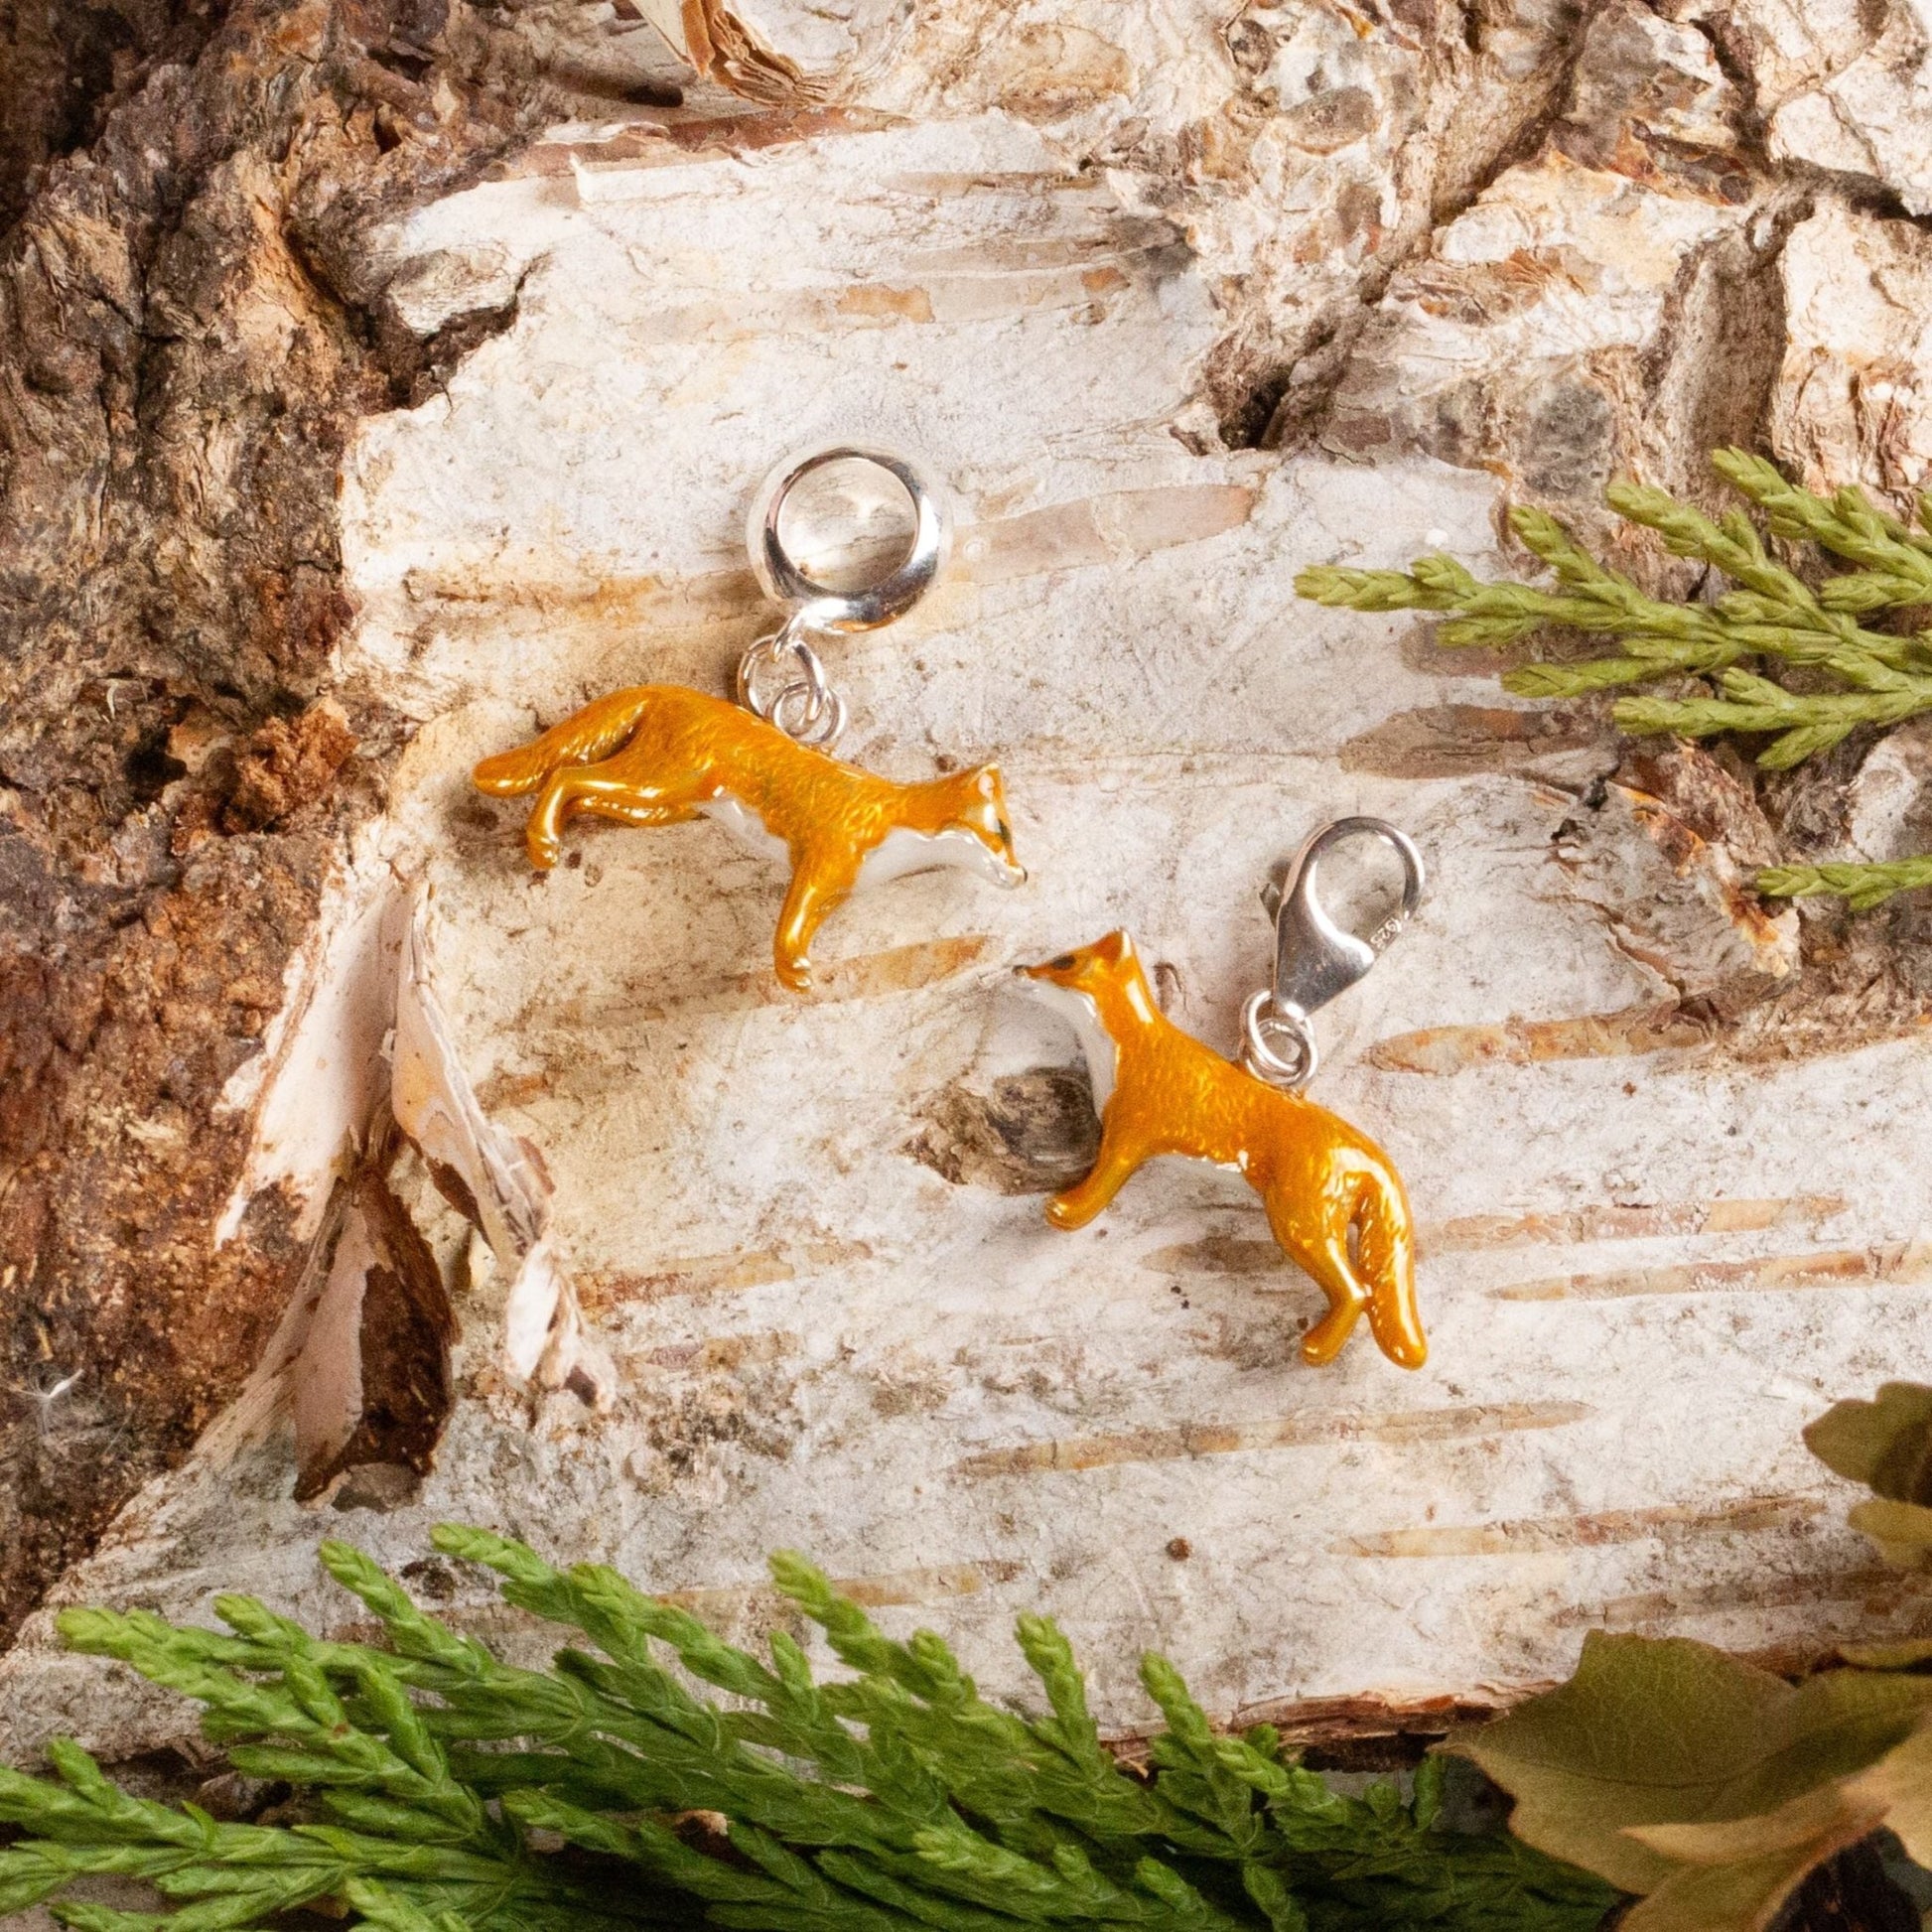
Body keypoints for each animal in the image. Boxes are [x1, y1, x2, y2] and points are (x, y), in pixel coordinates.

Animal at [473, 684, 1025, 993]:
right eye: (1002, 831)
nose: (1022, 875)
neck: (887, 820)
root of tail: (669, 691)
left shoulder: (837, 887)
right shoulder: (818, 867)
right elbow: (789, 927)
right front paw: (793, 973)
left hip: (659, 804)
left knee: (578, 790)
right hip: (662, 782)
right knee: (565, 775)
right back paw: (543, 842)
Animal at [1018, 930, 1425, 1370]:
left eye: (1064, 962)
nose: (1019, 970)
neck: (1128, 1051)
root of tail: (1359, 1148)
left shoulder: (1128, 1139)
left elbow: (1099, 1187)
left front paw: (1067, 1207)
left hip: (1298, 1223)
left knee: (1357, 1291)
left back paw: (1316, 1348)